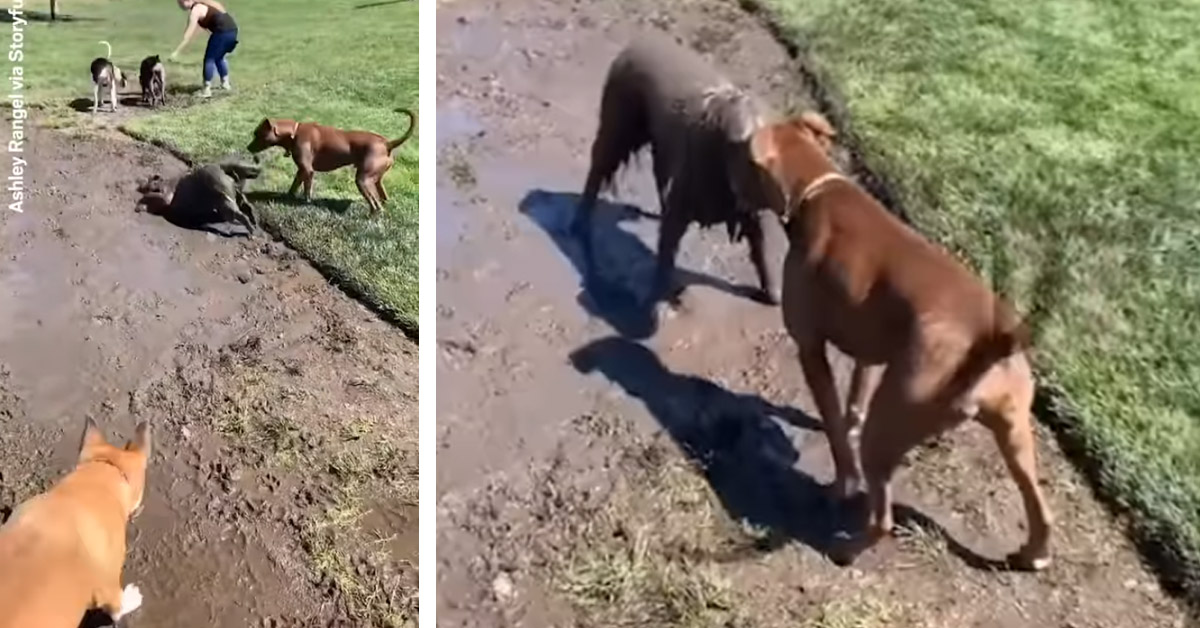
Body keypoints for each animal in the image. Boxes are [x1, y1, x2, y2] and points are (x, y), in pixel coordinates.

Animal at [243, 108, 417, 213]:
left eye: (258, 134)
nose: (248, 147)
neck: (294, 132)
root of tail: (387, 144)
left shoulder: (308, 170)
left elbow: (307, 189)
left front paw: (306, 202)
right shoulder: (301, 170)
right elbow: (294, 185)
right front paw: (288, 197)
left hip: (363, 180)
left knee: (376, 204)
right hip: (375, 178)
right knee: (382, 196)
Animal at [576, 33, 782, 309]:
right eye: (744, 147)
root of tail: (635, 45)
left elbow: (763, 245)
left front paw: (773, 294)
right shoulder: (687, 193)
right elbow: (667, 248)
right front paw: (659, 297)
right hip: (619, 123)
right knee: (598, 167)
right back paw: (578, 224)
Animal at [748, 111, 1051, 569]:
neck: (817, 185)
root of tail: (989, 341)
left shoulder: (809, 348)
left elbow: (836, 430)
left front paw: (842, 483)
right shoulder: (870, 355)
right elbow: (852, 406)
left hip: (889, 431)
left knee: (883, 521)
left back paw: (845, 548)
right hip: (1014, 433)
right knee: (1041, 508)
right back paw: (1034, 555)